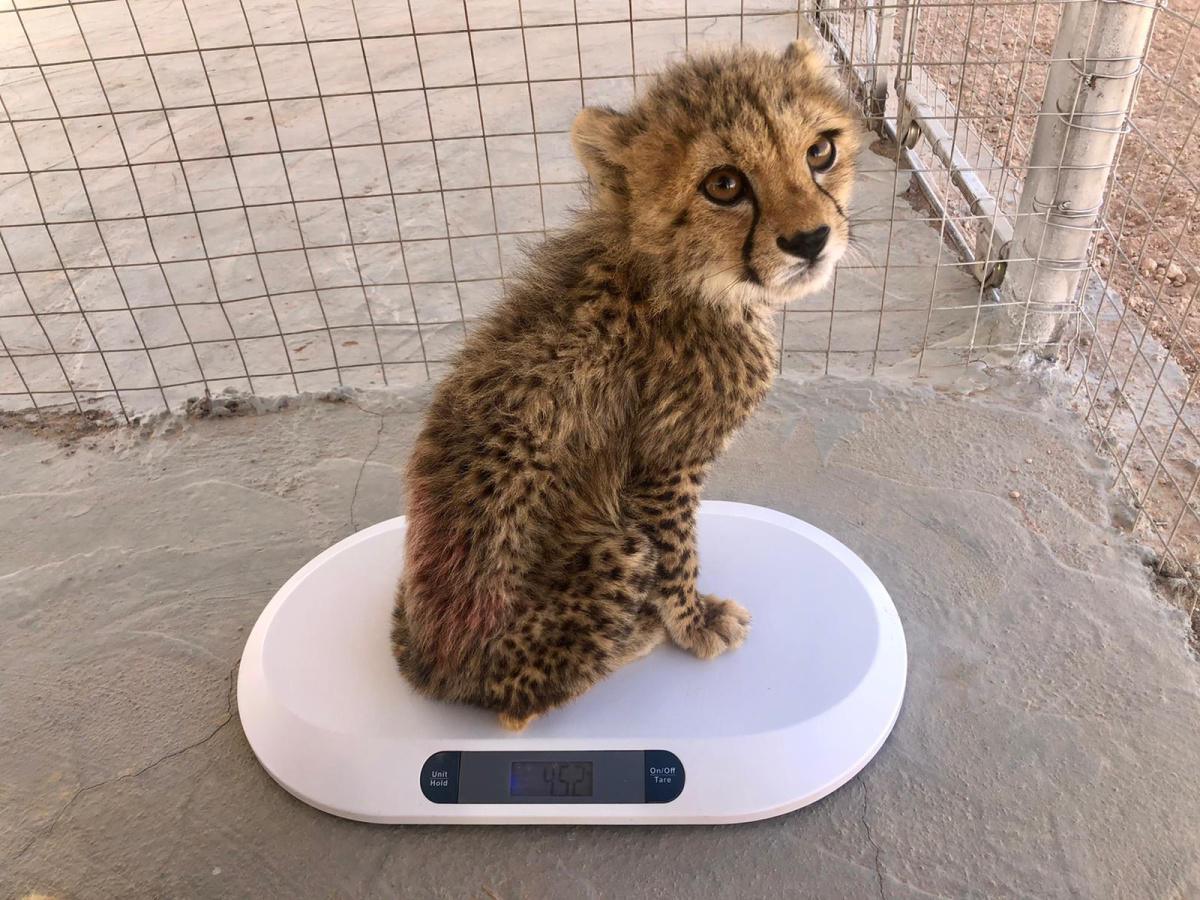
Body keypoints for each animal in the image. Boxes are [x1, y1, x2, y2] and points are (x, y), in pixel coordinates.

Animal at [391, 39, 862, 730]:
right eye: (724, 185)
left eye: (820, 151)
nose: (810, 240)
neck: (679, 273)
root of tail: (434, 670)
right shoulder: (662, 469)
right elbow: (677, 554)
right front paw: (693, 624)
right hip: (612, 552)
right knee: (518, 708)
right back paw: (635, 637)